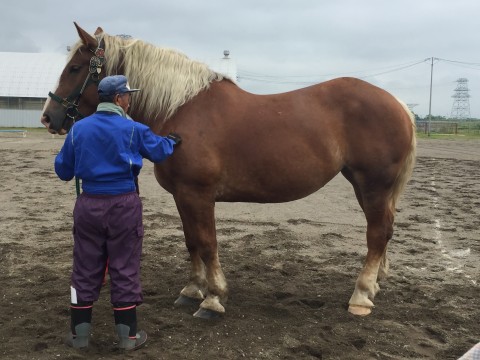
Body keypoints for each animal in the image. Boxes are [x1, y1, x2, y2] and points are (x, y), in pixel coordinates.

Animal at [42, 23, 416, 320]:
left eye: (75, 68)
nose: (48, 117)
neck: (182, 109)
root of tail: (398, 104)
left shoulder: (199, 195)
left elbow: (208, 244)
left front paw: (213, 299)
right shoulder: (182, 196)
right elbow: (192, 241)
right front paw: (192, 290)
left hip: (373, 185)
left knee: (377, 234)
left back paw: (361, 296)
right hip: (366, 185)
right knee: (385, 232)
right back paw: (374, 286)